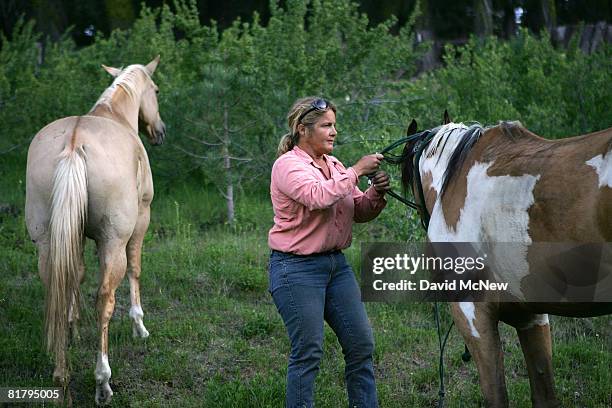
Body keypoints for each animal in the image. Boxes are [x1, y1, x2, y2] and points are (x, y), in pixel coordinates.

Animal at [24, 55, 165, 404]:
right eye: (156, 90)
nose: (160, 131)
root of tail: (74, 143)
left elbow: (76, 275)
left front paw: (72, 327)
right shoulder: (141, 220)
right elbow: (136, 270)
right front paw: (139, 326)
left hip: (47, 241)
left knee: (57, 287)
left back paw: (61, 377)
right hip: (113, 242)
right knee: (105, 300)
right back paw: (103, 381)